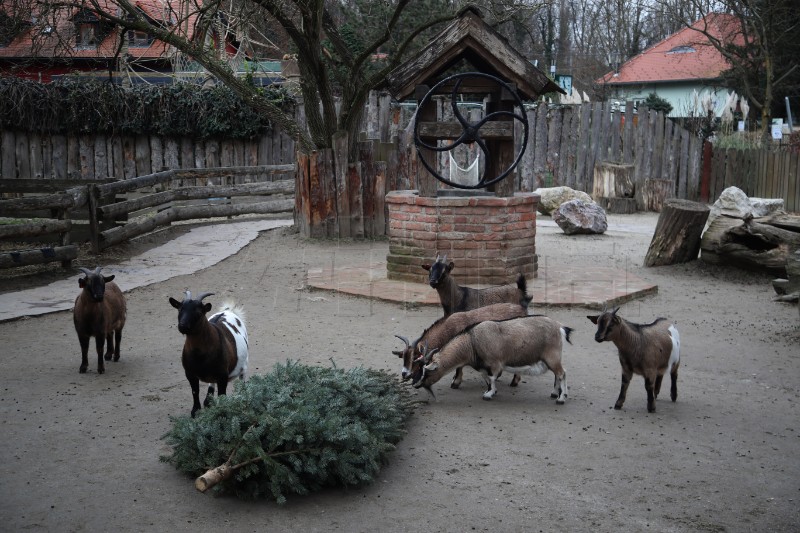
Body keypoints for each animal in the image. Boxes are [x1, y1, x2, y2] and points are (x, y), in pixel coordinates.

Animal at [166, 288, 247, 418]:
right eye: (180, 310)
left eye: (199, 313)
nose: (183, 326)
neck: (200, 356)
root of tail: (228, 311)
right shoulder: (190, 373)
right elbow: (195, 391)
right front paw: (195, 411)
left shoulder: (223, 375)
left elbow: (222, 394)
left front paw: (223, 410)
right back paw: (208, 401)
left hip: (244, 365)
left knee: (242, 379)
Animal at [412, 314, 568, 402]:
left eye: (427, 371)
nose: (415, 384)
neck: (471, 342)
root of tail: (560, 327)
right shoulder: (484, 367)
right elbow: (486, 378)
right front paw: (490, 391)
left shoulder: (495, 364)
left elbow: (492, 378)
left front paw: (488, 395)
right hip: (551, 360)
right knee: (558, 374)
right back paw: (555, 393)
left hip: (552, 357)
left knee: (561, 374)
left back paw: (561, 398)